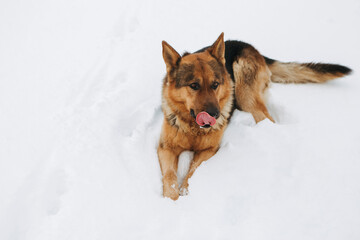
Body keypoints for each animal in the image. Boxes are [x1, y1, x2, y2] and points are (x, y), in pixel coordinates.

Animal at [158, 32, 352, 201]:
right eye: (194, 85)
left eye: (215, 84)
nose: (215, 114)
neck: (193, 129)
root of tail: (251, 48)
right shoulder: (165, 148)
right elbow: (169, 175)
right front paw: (171, 198)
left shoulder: (209, 150)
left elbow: (193, 170)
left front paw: (185, 189)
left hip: (244, 91)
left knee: (267, 118)